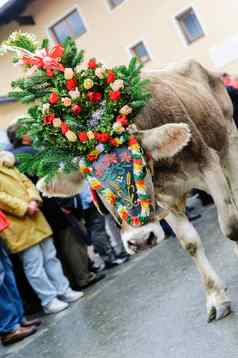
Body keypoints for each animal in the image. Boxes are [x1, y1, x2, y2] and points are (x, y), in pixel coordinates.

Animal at [37, 60, 238, 324]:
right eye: (93, 182)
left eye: (139, 163)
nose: (141, 240)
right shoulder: (163, 200)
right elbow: (190, 244)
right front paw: (217, 299)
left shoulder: (209, 165)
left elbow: (230, 225)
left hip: (229, 143)